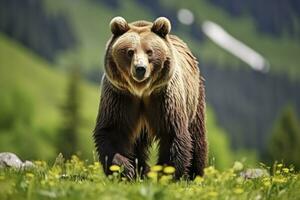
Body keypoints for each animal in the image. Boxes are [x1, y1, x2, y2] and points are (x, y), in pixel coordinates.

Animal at [94, 16, 206, 180]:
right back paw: (141, 171)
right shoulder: (120, 96)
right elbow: (113, 131)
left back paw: (195, 174)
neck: (141, 91)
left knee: (197, 136)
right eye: (130, 51)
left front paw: (167, 173)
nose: (140, 68)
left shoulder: (164, 97)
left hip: (194, 98)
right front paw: (125, 170)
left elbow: (171, 134)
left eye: (150, 52)